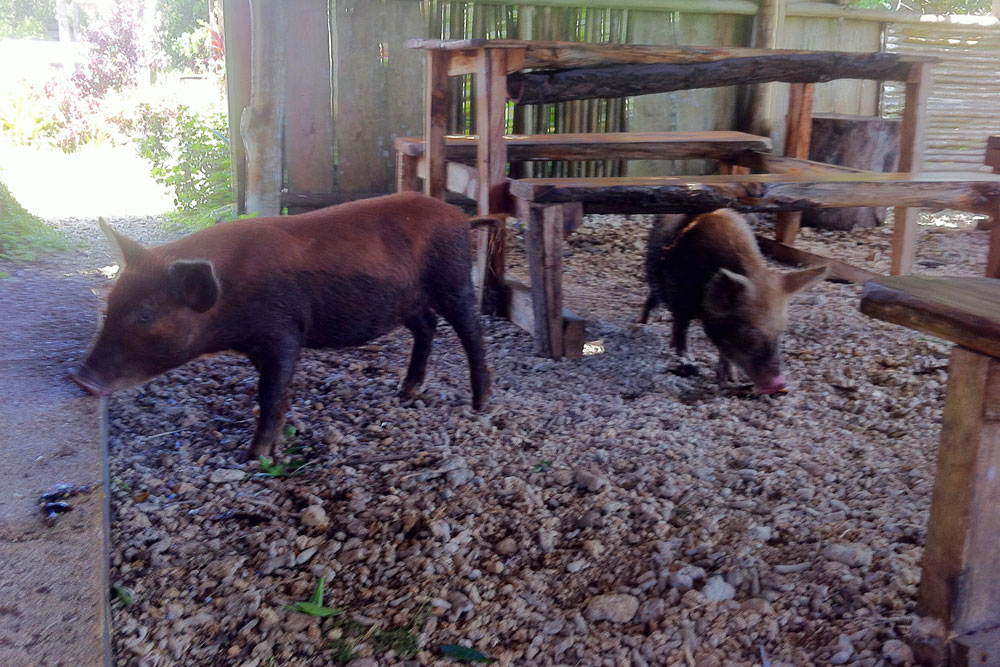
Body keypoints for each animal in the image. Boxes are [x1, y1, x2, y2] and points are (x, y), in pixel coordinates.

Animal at [71, 192, 491, 460]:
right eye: (110, 305)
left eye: (145, 315)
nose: (80, 379)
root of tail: (461, 217)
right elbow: (280, 394)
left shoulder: (283, 331)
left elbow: (270, 394)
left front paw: (253, 457)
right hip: (406, 299)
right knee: (427, 326)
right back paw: (404, 394)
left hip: (452, 279)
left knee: (472, 333)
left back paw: (480, 405)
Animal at [638, 210, 827, 394]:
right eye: (751, 333)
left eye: (780, 332)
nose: (780, 383)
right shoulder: (678, 293)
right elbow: (680, 325)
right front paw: (686, 357)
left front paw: (731, 379)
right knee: (653, 295)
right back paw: (644, 322)